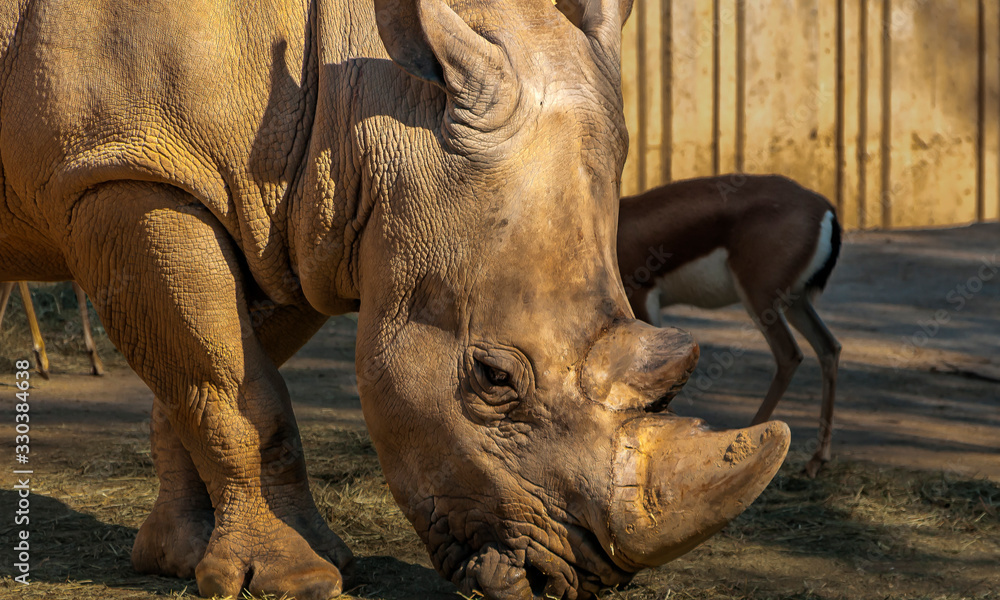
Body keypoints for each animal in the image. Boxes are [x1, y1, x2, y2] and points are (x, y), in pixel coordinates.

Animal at [0, 0, 790, 598]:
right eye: (493, 378)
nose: (568, 581)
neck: (373, 106)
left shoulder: (298, 215)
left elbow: (207, 378)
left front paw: (181, 559)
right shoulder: (121, 170)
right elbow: (234, 389)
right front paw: (297, 580)